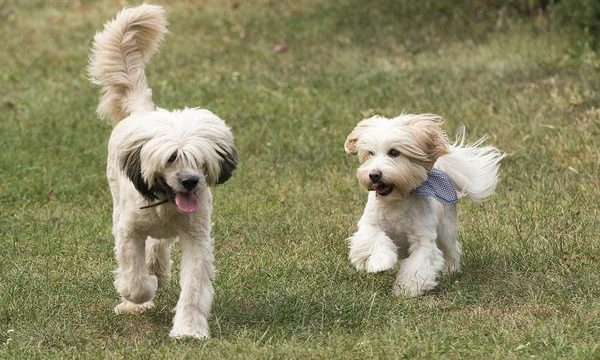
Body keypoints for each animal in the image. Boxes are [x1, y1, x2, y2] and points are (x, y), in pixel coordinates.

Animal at [87, 4, 237, 338]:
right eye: (172, 158)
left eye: (200, 159)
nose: (190, 181)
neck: (166, 205)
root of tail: (144, 112)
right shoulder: (129, 230)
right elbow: (133, 276)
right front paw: (138, 297)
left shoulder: (196, 237)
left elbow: (193, 286)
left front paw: (189, 330)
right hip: (117, 203)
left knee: (158, 245)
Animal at [344, 114, 504, 296]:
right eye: (370, 153)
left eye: (394, 152)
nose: (374, 175)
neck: (397, 199)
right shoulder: (370, 224)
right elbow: (373, 239)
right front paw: (380, 263)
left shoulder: (423, 238)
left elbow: (418, 264)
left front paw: (407, 289)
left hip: (446, 229)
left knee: (451, 249)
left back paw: (451, 270)